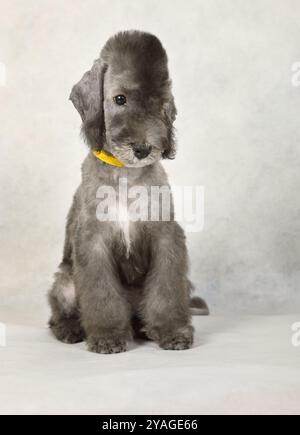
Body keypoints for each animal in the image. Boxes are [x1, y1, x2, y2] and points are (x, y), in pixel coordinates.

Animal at [48, 30, 209, 354]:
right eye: (119, 99)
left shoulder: (165, 238)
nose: (143, 148)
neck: (125, 176)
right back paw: (71, 329)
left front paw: (172, 331)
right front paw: (107, 335)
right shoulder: (93, 243)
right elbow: (102, 296)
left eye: (160, 104)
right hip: (65, 282)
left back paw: (145, 329)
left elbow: (166, 292)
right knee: (58, 314)